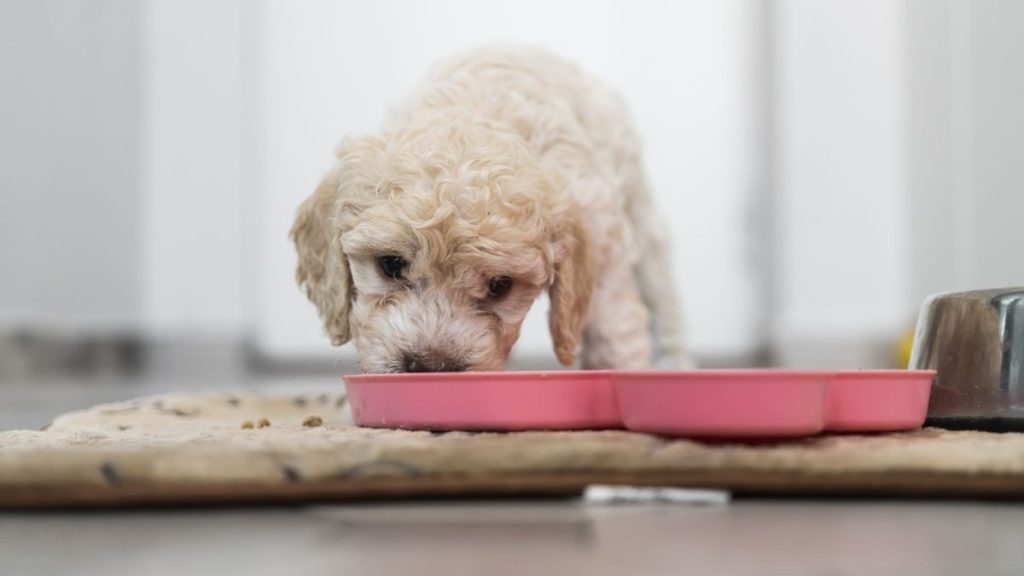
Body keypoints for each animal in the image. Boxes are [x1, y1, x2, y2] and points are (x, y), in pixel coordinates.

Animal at [292, 45, 692, 373]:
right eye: (390, 264)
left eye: (500, 286)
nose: (431, 366)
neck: (477, 116)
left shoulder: (605, 255)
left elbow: (615, 335)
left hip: (643, 222)